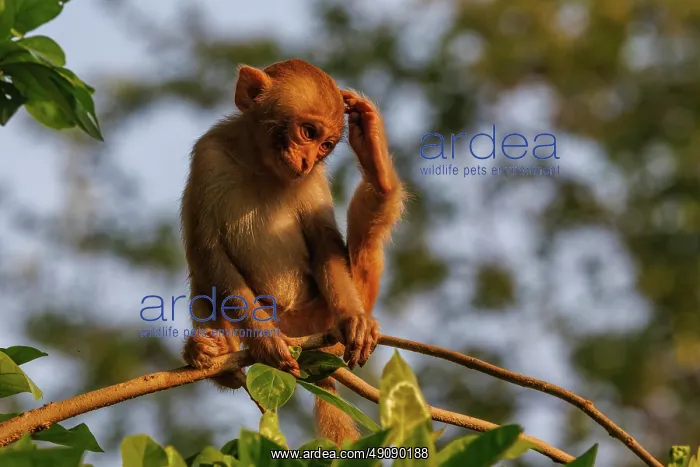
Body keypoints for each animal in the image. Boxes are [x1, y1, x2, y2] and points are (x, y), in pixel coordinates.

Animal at [180, 58, 405, 445]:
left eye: (326, 144)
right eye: (308, 132)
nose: (306, 160)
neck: (260, 165)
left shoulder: (313, 180)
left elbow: (324, 244)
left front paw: (353, 319)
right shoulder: (207, 156)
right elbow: (207, 250)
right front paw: (266, 341)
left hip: (321, 319)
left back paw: (379, 173)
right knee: (203, 278)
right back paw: (214, 355)